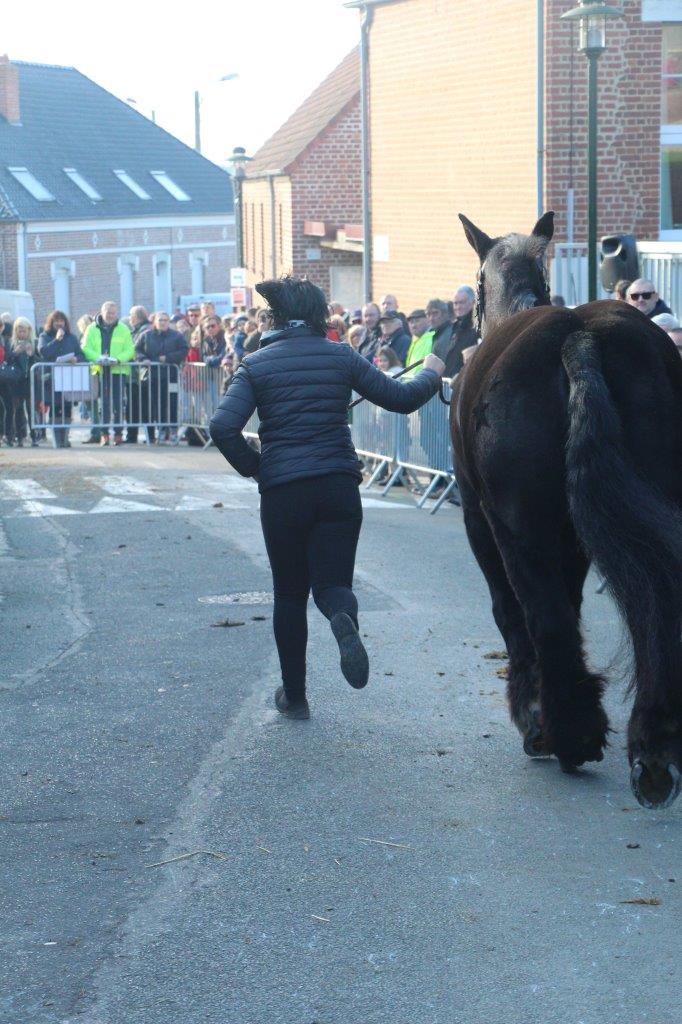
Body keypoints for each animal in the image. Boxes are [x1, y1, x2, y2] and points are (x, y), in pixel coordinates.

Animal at [448, 214, 675, 806]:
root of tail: (578, 338)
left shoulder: (483, 524)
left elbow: (515, 612)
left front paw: (535, 719)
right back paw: (654, 747)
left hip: (518, 529)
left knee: (543, 619)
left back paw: (567, 736)